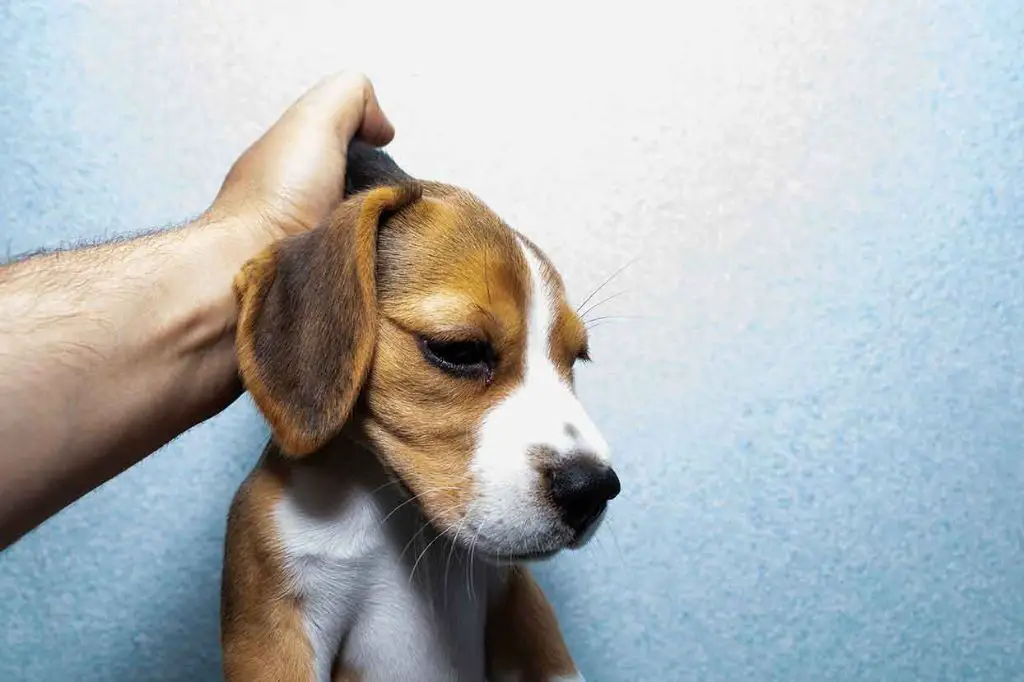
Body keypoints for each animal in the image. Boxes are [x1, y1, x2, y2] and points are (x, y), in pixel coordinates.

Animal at [221, 139, 618, 679]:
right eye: (460, 350)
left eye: (576, 359)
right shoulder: (274, 627)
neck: (399, 516)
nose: (593, 489)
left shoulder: (517, 601)